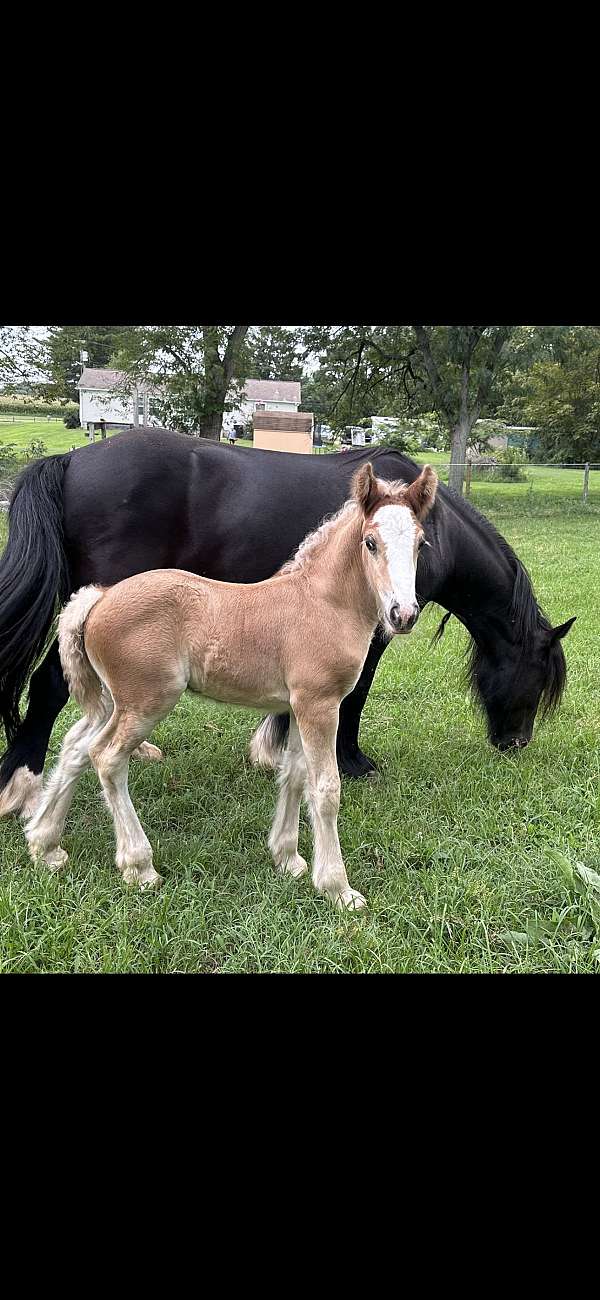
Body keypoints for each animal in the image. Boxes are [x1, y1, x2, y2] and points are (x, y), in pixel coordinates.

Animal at [0, 428, 574, 821]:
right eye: (535, 677)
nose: (516, 743)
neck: (436, 530)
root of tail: (72, 459)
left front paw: (274, 748)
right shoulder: (374, 629)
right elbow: (356, 694)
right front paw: (353, 761)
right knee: (50, 684)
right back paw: (22, 783)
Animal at [24, 463, 437, 909]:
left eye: (420, 543)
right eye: (370, 542)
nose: (403, 614)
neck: (322, 603)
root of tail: (99, 598)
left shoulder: (298, 706)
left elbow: (293, 774)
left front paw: (288, 859)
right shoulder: (320, 705)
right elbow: (325, 788)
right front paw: (338, 888)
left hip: (113, 701)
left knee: (76, 747)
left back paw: (45, 845)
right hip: (146, 701)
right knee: (106, 756)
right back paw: (139, 866)